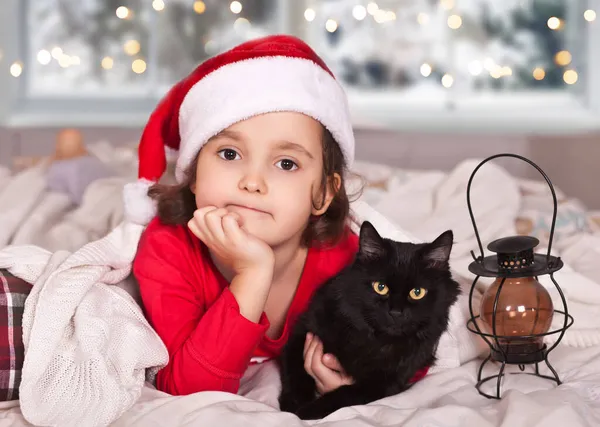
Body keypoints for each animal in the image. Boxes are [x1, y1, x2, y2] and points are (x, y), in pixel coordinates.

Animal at [276, 222, 460, 420]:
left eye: (417, 292)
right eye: (380, 287)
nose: (396, 312)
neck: (375, 342)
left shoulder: (385, 383)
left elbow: (344, 394)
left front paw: (308, 411)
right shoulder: (303, 331)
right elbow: (296, 370)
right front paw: (293, 405)